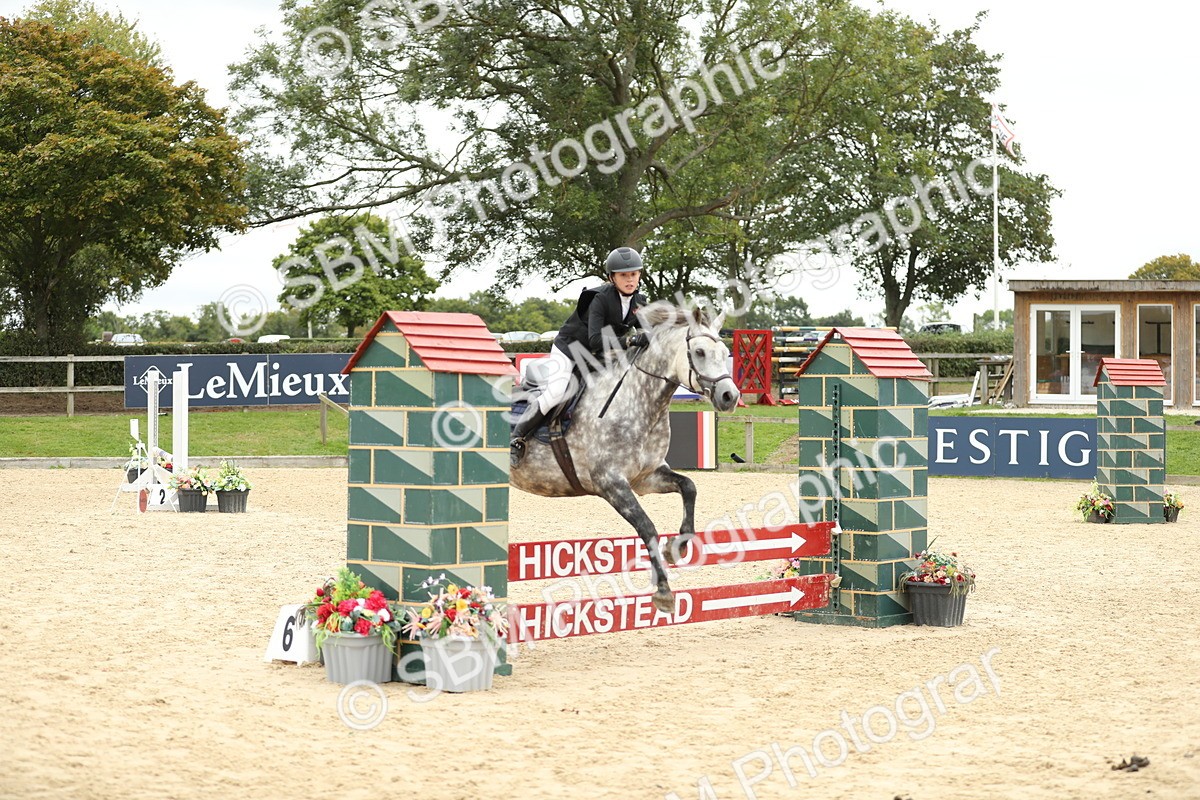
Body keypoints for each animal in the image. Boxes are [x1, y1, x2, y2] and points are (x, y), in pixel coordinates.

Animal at [509, 303, 741, 613]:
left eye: (726, 353)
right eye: (700, 352)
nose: (730, 396)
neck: (640, 403)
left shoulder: (647, 477)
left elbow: (689, 487)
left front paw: (678, 547)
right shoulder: (611, 483)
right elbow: (647, 527)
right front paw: (664, 591)